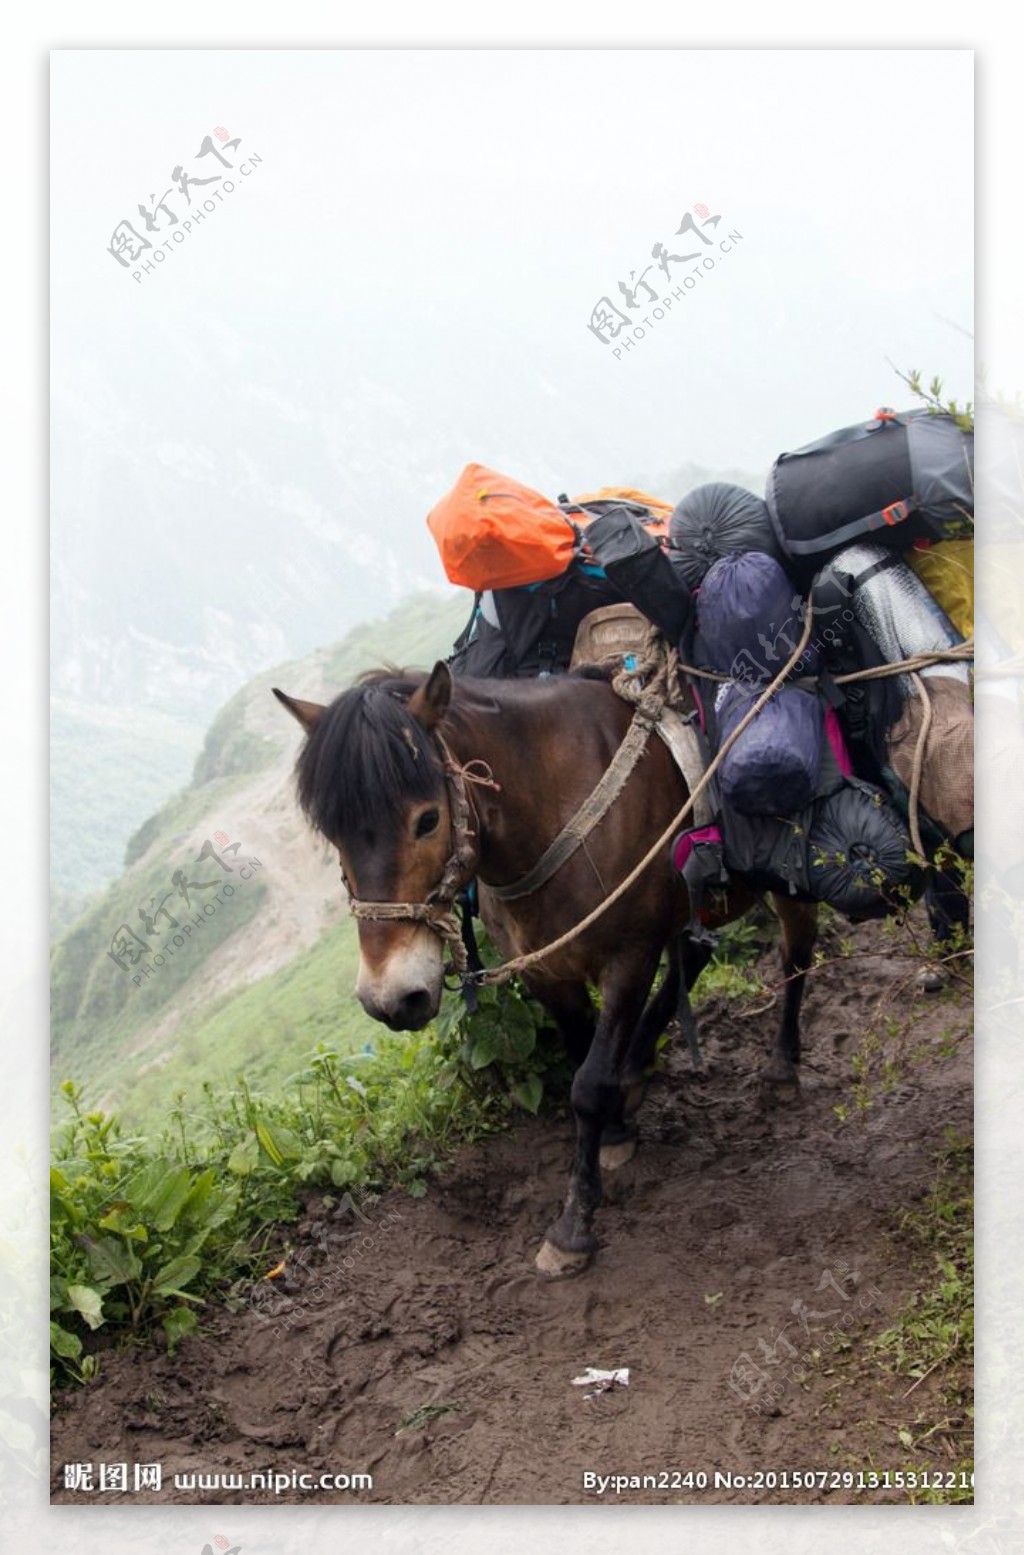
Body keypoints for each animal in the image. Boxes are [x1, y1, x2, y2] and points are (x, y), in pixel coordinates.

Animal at [271, 662, 814, 1281]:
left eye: (427, 820)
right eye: (333, 835)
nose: (390, 998)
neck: (554, 804)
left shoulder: (628, 957)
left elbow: (588, 1084)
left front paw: (574, 1225)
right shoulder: (547, 974)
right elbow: (583, 1061)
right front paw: (616, 1130)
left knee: (797, 953)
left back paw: (781, 1065)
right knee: (696, 954)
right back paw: (639, 1070)